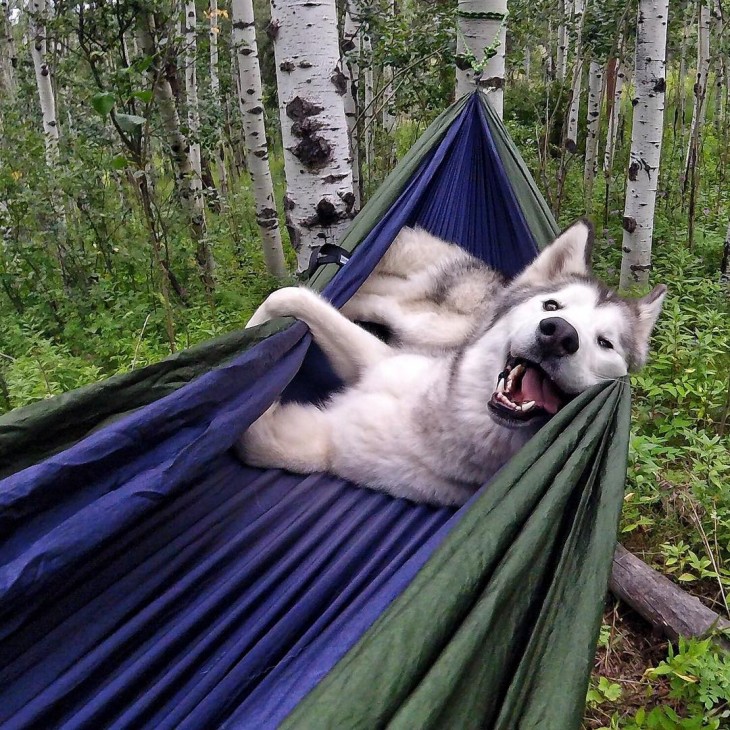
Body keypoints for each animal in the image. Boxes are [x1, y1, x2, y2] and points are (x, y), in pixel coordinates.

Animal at [236, 220, 664, 506]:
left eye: (605, 343)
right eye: (552, 306)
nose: (559, 334)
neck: (442, 419)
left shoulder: (318, 442)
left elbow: (254, 435)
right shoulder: (378, 359)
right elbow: (288, 297)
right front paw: (251, 341)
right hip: (417, 322)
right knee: (369, 296)